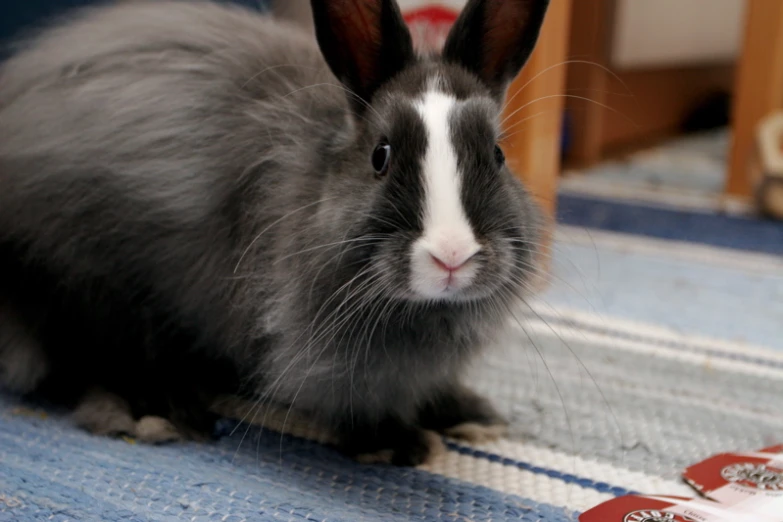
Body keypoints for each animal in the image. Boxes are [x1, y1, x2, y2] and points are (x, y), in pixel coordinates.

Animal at [0, 0, 548, 464]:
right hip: (86, 284)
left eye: (497, 155)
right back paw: (153, 413)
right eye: (381, 156)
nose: (451, 256)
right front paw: (396, 444)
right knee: (90, 360)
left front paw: (473, 416)